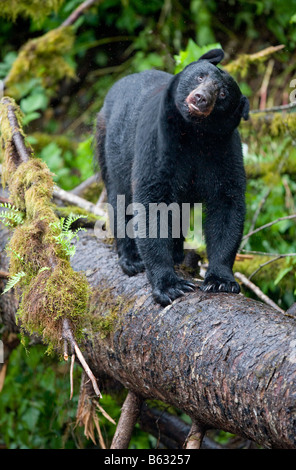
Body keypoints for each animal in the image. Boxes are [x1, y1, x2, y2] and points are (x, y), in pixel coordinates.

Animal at [96, 47, 249, 304]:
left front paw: (220, 280)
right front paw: (169, 285)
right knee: (120, 198)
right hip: (108, 147)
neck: (195, 135)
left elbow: (227, 204)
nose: (201, 98)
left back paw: (177, 252)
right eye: (200, 76)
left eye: (223, 93)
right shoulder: (157, 144)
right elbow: (152, 203)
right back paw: (131, 259)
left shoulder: (224, 151)